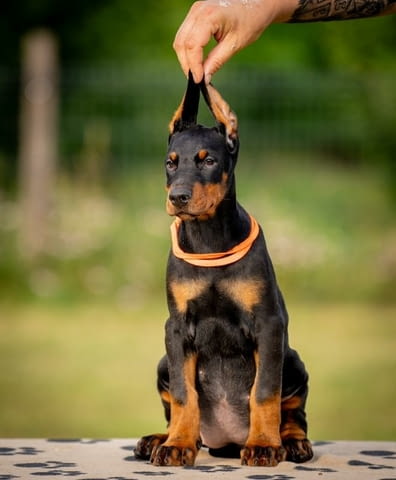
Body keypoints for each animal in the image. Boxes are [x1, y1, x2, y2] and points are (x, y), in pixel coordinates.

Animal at [135, 74, 314, 464]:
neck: (209, 238)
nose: (178, 197)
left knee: (294, 411)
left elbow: (264, 392)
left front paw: (264, 445)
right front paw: (177, 445)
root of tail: (226, 442)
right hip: (162, 363)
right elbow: (184, 395)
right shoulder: (176, 329)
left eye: (208, 161)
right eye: (170, 163)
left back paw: (291, 442)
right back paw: (161, 438)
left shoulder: (268, 324)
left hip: (293, 360)